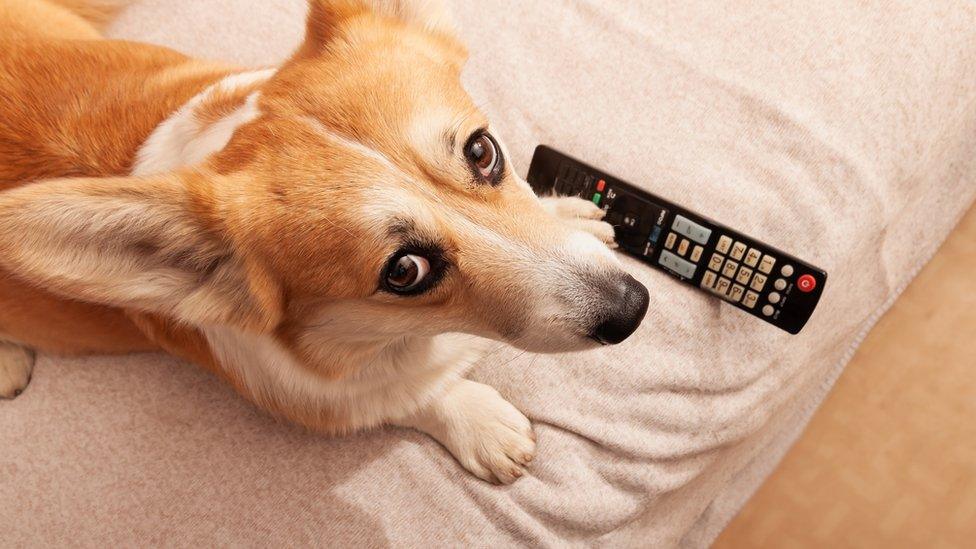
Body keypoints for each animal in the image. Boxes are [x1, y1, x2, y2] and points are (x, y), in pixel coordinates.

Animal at [0, 0, 648, 482]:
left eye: (482, 151)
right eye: (404, 271)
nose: (632, 309)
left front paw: (574, 213)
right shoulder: (322, 398)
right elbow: (409, 398)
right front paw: (484, 426)